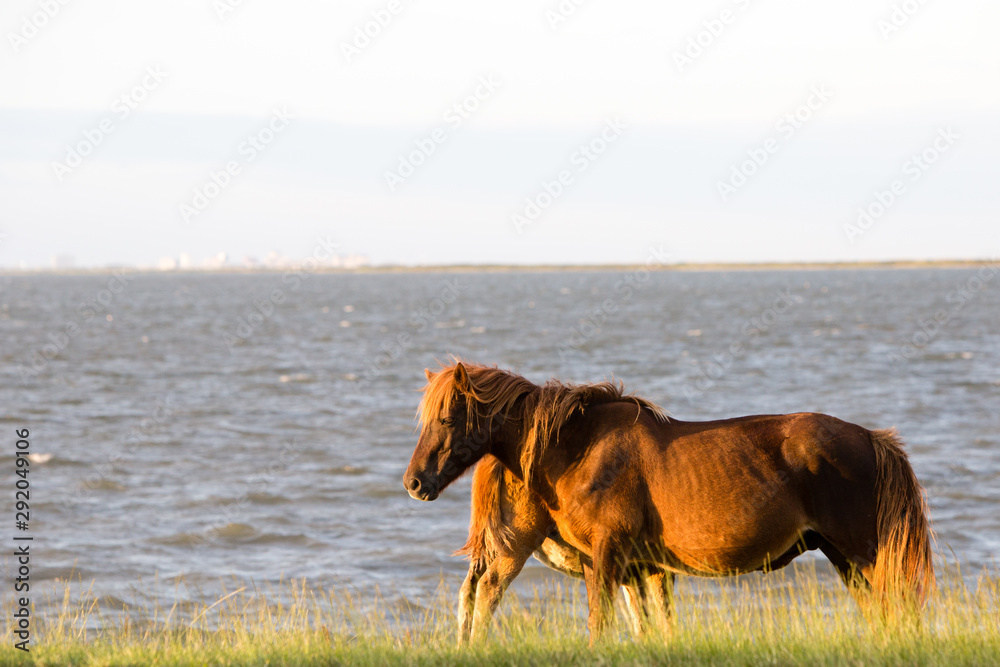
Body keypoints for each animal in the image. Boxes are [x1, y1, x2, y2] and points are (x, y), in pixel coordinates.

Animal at [402, 362, 932, 644]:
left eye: (447, 418)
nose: (414, 482)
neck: (579, 447)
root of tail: (871, 439)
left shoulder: (609, 555)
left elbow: (603, 622)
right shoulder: (623, 563)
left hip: (863, 553)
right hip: (845, 556)